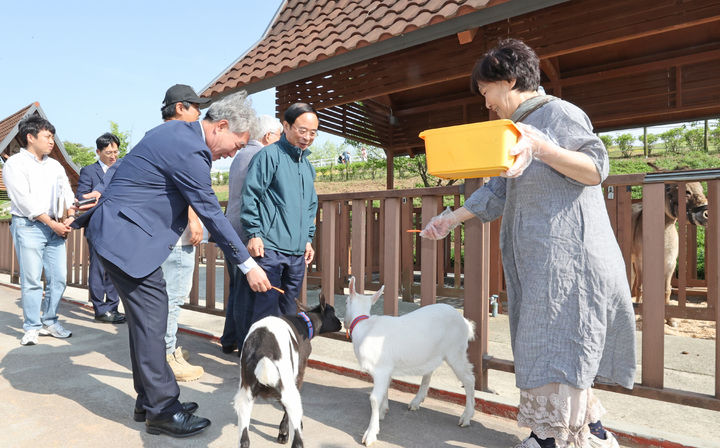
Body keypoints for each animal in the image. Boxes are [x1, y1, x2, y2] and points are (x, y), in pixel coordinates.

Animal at [233, 298, 340, 448]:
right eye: (333, 312)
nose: (341, 324)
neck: (304, 323)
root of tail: (262, 351)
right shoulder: (299, 373)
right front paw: (285, 431)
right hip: (287, 386)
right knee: (297, 439)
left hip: (245, 393)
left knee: (244, 439)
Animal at [344, 276, 478, 444]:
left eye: (346, 302)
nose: (344, 322)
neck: (365, 326)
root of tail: (465, 323)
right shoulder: (387, 370)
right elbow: (385, 390)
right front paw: (383, 411)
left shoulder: (381, 369)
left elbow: (374, 398)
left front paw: (370, 434)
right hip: (435, 352)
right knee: (429, 372)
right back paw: (416, 402)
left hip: (456, 351)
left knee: (469, 379)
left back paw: (466, 417)